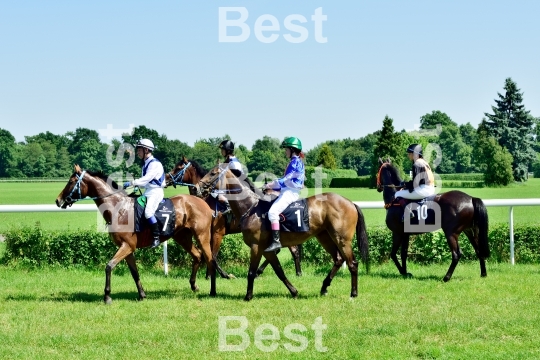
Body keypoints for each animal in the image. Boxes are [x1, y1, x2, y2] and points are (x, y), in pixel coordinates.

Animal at [53, 166, 216, 304]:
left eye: (71, 181)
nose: (58, 200)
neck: (119, 209)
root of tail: (202, 202)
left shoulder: (127, 246)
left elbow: (109, 266)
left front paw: (107, 296)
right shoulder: (127, 249)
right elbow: (134, 273)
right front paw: (142, 294)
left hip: (202, 236)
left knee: (210, 260)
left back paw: (213, 291)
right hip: (182, 237)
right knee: (197, 256)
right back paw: (194, 285)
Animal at [165, 156, 304, 278]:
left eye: (178, 168)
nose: (166, 178)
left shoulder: (218, 233)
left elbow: (213, 255)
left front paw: (219, 275)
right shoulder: (208, 233)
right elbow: (208, 254)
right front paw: (212, 274)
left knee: (292, 249)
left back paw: (296, 272)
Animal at [192, 163, 370, 300]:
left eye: (213, 173)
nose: (195, 189)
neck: (251, 207)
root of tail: (350, 202)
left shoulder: (256, 247)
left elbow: (251, 272)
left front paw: (248, 296)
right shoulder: (266, 250)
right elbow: (279, 271)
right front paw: (294, 291)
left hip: (342, 239)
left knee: (352, 263)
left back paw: (353, 293)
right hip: (324, 237)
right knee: (338, 260)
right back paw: (324, 287)